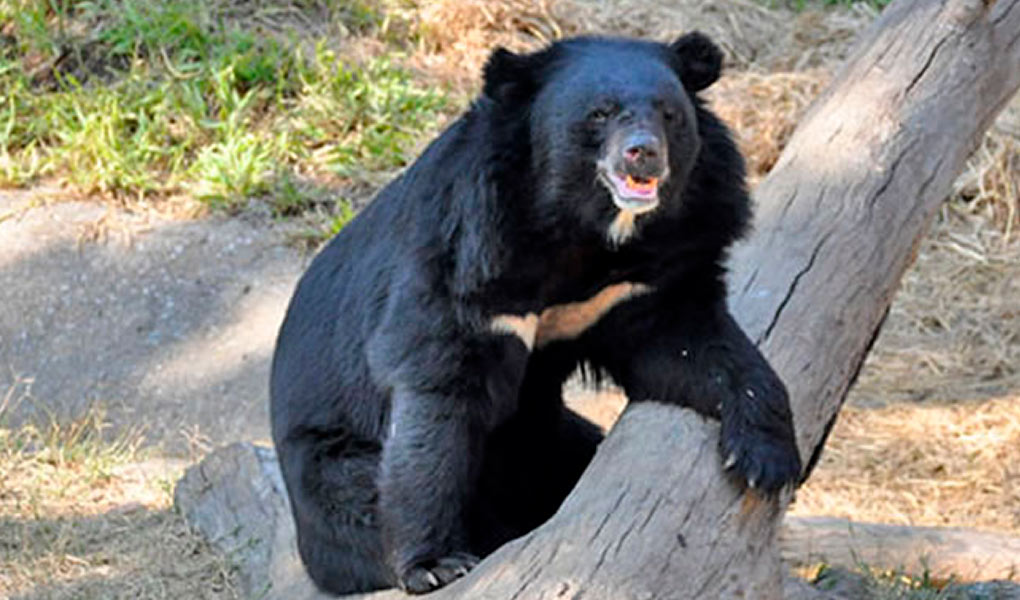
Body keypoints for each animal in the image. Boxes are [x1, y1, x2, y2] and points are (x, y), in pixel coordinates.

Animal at [269, 32, 803, 595]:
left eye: (668, 113)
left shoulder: (647, 276)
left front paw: (767, 461)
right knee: (357, 498)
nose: (643, 153)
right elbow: (438, 398)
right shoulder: (467, 261)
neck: (587, 233)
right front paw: (435, 563)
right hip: (329, 465)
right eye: (599, 114)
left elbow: (693, 344)